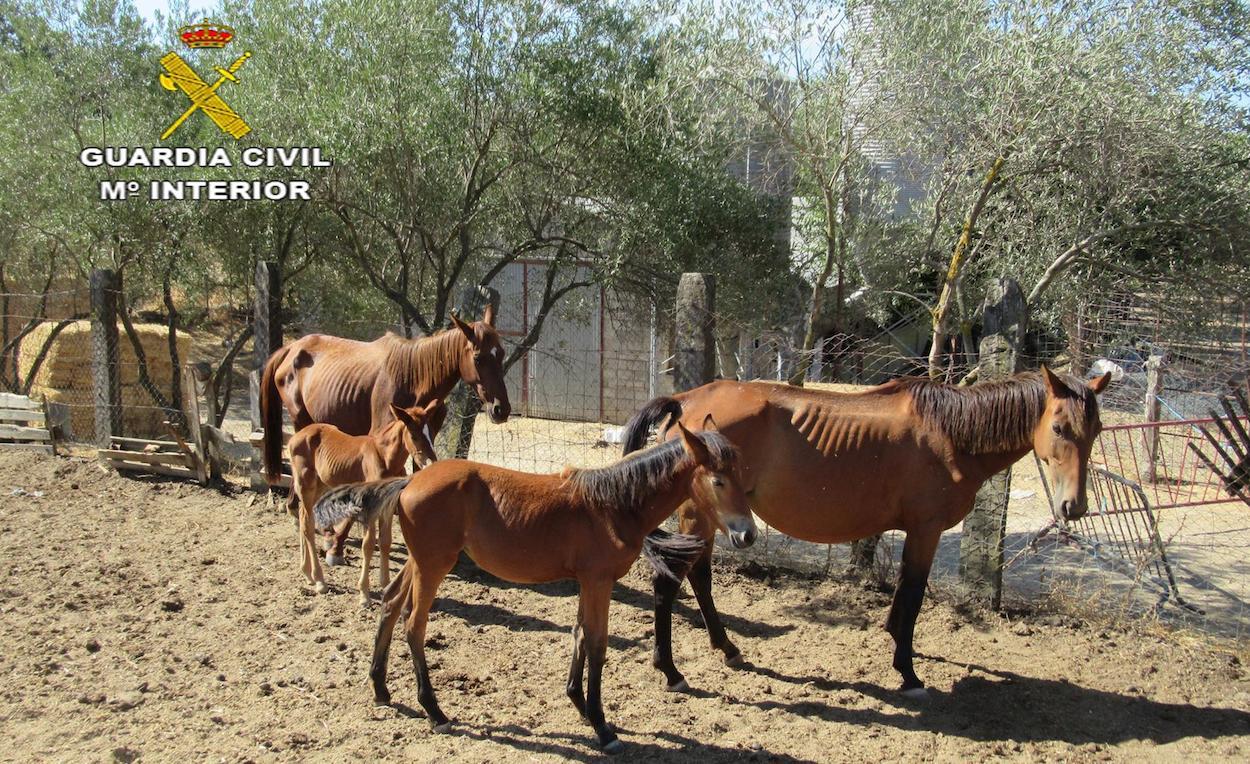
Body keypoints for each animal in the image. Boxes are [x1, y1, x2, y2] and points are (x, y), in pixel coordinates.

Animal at [263, 303, 512, 562]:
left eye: (501, 353)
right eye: (478, 357)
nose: (501, 409)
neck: (414, 378)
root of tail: (292, 348)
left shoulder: (421, 443)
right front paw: (337, 547)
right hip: (300, 419)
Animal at [286, 400, 442, 602]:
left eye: (430, 433)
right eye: (414, 435)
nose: (431, 463)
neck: (385, 458)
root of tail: (295, 437)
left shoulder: (388, 505)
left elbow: (385, 542)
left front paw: (385, 585)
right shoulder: (370, 506)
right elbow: (368, 545)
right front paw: (364, 594)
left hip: (321, 485)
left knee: (304, 516)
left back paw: (307, 573)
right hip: (305, 485)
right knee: (307, 525)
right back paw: (320, 580)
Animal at [317, 422, 755, 755]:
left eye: (744, 480)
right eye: (717, 480)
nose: (747, 535)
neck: (613, 506)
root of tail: (409, 480)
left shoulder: (587, 582)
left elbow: (579, 635)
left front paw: (579, 704)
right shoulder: (598, 581)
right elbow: (597, 644)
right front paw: (602, 727)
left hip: (420, 561)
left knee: (390, 603)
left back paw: (381, 688)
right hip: (433, 565)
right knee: (414, 624)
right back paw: (435, 711)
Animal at [625, 367, 1115, 695]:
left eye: (1096, 429)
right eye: (1058, 427)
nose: (1074, 506)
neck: (949, 434)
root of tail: (687, 401)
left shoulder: (917, 532)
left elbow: (902, 592)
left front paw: (894, 636)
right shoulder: (926, 529)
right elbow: (913, 594)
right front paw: (908, 671)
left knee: (700, 578)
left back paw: (726, 647)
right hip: (699, 516)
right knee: (671, 583)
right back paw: (671, 671)